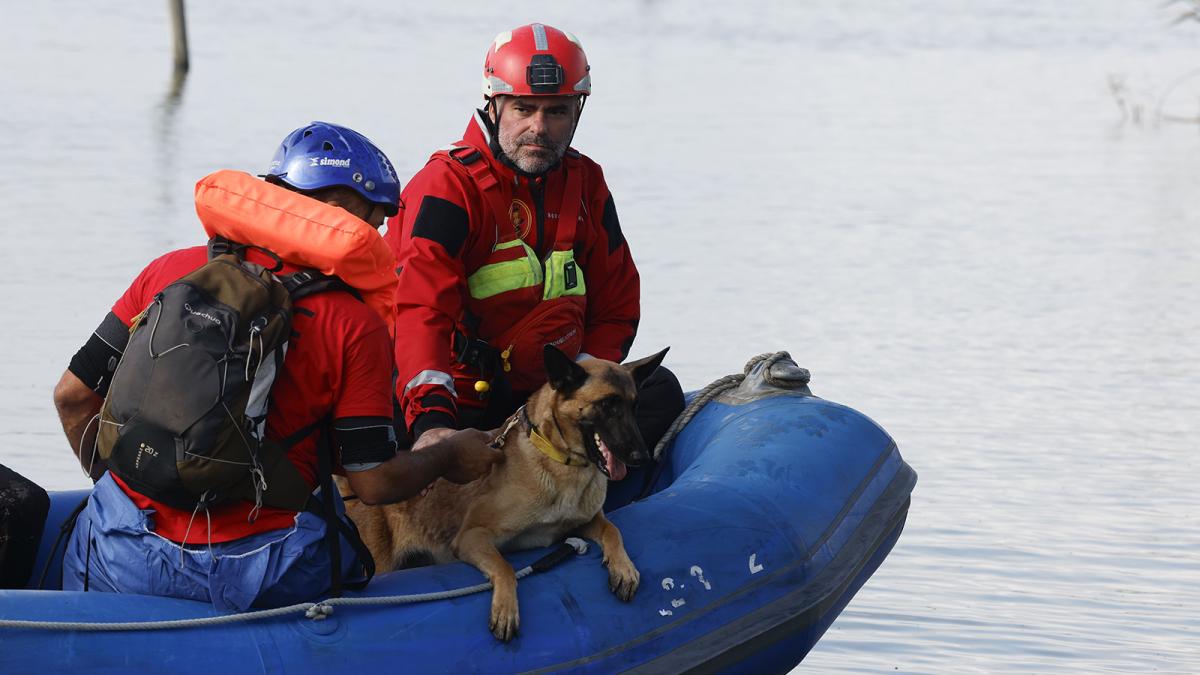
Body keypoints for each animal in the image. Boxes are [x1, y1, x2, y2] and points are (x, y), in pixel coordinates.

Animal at [343, 343, 672, 638]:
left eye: (634, 405)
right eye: (607, 404)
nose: (642, 457)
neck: (559, 463)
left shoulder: (584, 523)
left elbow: (612, 529)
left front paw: (624, 568)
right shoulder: (472, 537)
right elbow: (506, 567)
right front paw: (505, 609)